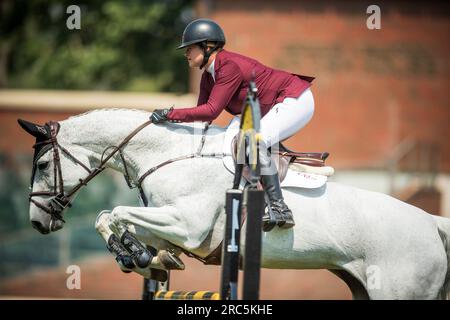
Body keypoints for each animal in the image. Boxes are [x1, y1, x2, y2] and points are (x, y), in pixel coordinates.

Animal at [20, 109, 450, 300]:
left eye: (41, 165)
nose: (37, 222)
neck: (170, 155)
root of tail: (431, 221)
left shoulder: (187, 224)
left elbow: (117, 213)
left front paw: (137, 253)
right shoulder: (168, 222)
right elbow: (109, 216)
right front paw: (145, 256)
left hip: (399, 292)